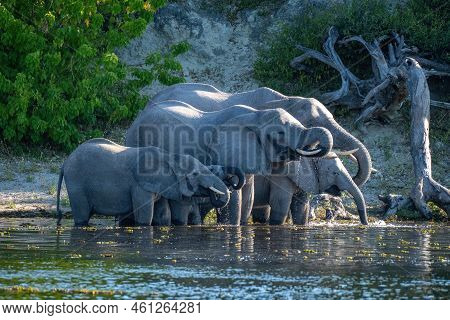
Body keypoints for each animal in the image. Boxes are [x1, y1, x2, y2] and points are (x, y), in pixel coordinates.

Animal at [58, 139, 243, 226]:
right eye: (195, 174)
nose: (231, 184)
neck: (171, 157)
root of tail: (64, 163)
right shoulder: (140, 184)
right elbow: (145, 217)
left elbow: (163, 215)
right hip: (76, 183)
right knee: (81, 217)